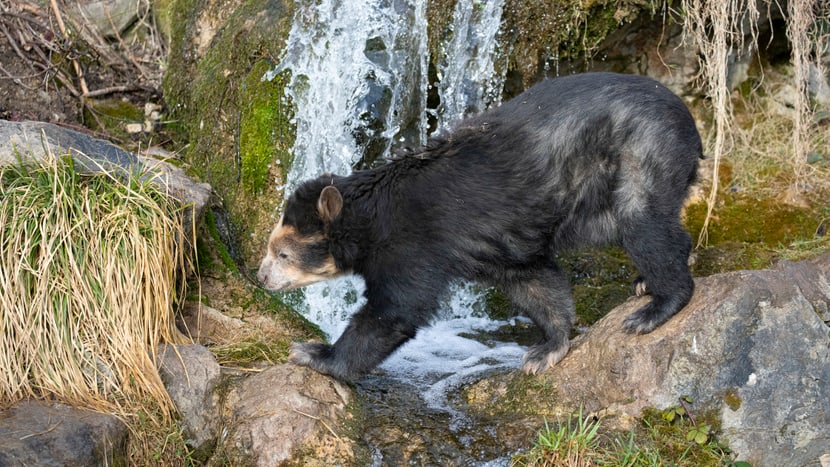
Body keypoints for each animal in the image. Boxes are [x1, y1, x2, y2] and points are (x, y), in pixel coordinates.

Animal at [258, 70, 704, 384]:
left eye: (282, 252)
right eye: (271, 247)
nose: (261, 277)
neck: (371, 218)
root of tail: (686, 115)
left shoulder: (411, 243)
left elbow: (394, 310)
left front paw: (314, 354)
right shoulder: (497, 243)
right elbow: (534, 281)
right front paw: (546, 349)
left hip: (641, 154)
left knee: (645, 224)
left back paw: (654, 307)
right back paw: (645, 282)